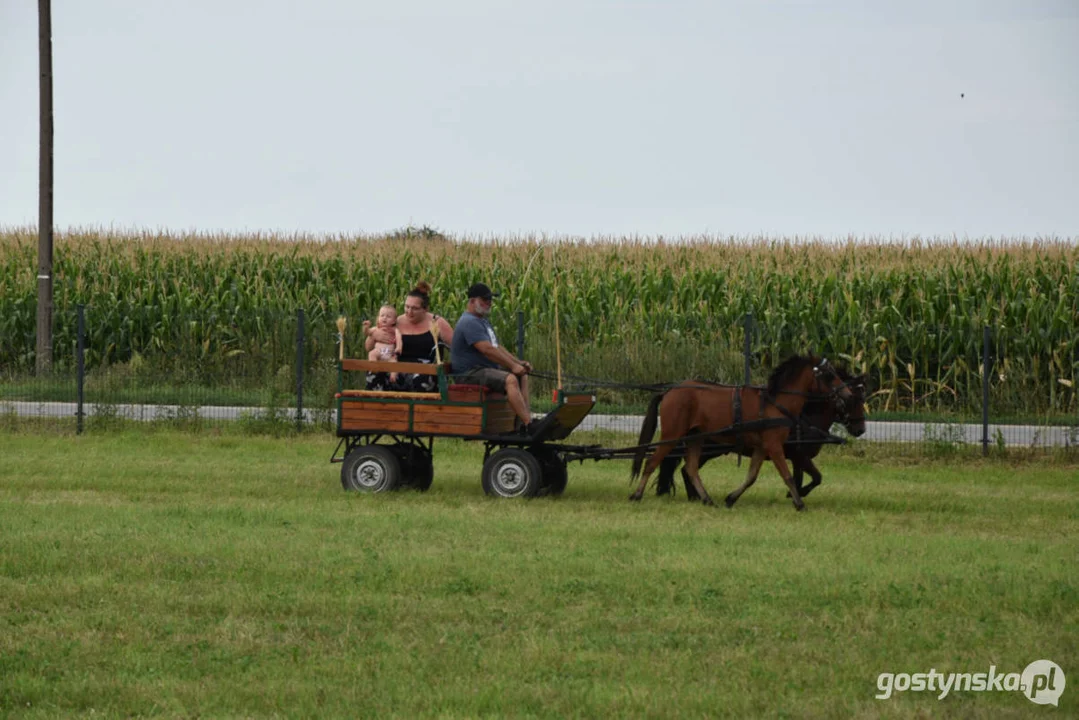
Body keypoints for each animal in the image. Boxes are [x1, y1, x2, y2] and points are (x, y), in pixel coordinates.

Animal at [630, 354, 850, 509]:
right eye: (829, 375)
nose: (846, 394)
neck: (775, 403)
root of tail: (669, 391)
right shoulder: (774, 445)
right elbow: (786, 475)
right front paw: (799, 503)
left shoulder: (762, 447)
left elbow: (751, 476)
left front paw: (731, 498)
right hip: (672, 436)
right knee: (652, 462)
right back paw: (636, 495)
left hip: (695, 438)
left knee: (691, 468)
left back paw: (707, 499)